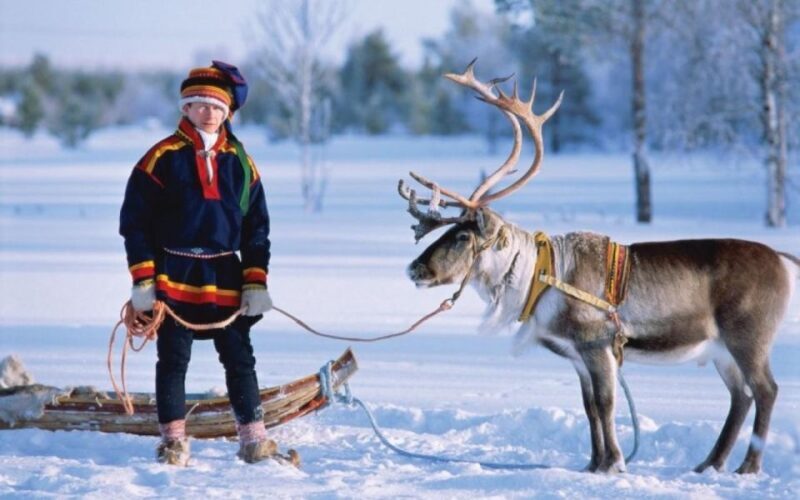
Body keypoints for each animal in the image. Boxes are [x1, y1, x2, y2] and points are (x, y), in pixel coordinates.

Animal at [399, 59, 799, 474]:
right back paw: (709, 464)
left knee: (765, 390)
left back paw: (748, 466)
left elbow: (606, 405)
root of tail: (784, 261)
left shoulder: (597, 345)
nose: (414, 269)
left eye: (462, 236)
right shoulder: (576, 356)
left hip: (749, 336)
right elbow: (589, 407)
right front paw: (593, 464)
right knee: (741, 395)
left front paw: (615, 463)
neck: (537, 279)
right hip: (721, 348)